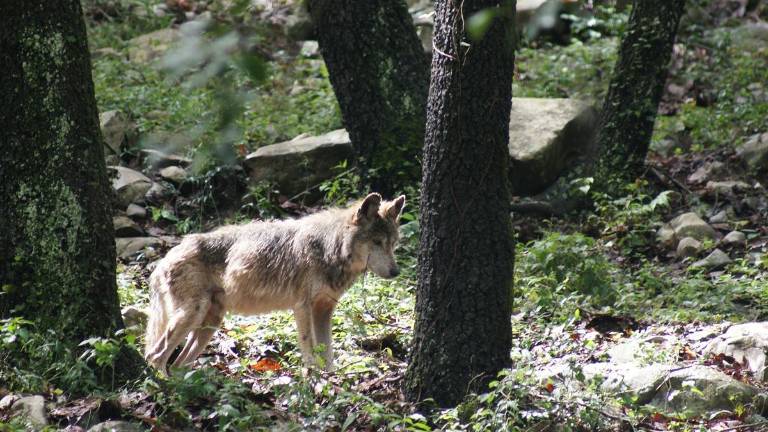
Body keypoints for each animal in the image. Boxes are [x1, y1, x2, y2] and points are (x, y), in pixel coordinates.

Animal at [144, 193, 405, 373]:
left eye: (393, 243)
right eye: (377, 242)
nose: (396, 271)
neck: (330, 247)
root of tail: (164, 258)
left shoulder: (324, 310)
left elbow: (327, 355)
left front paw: (332, 382)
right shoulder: (303, 308)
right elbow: (310, 353)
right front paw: (315, 382)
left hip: (209, 324)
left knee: (176, 364)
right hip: (192, 315)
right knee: (154, 356)